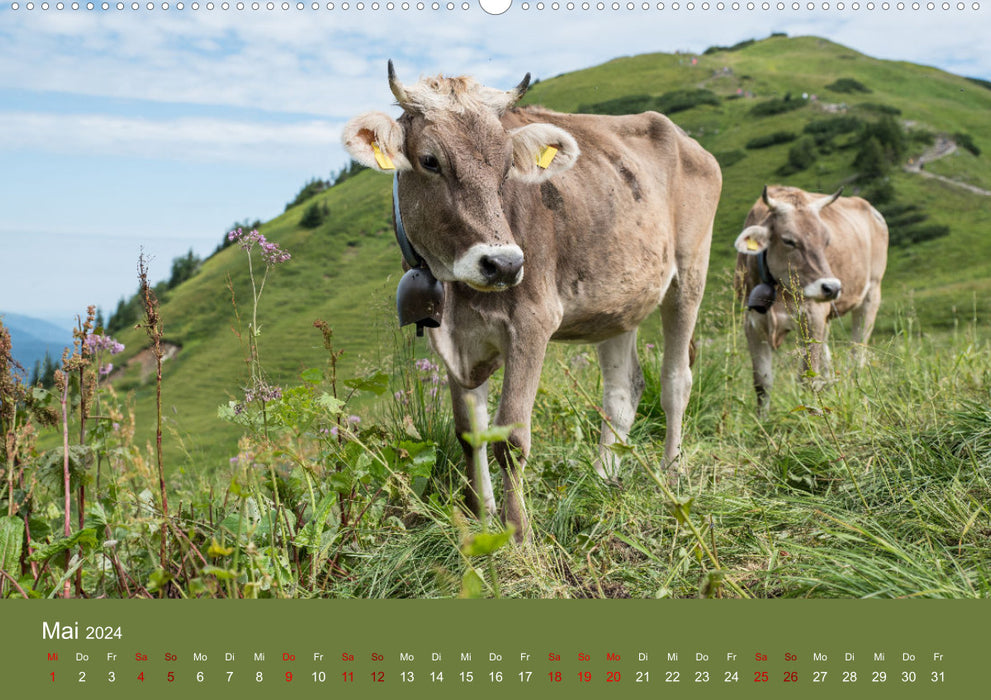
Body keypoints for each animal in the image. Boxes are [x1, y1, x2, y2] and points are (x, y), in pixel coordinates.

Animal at [340, 63, 720, 540]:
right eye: (430, 160)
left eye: (507, 167)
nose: (502, 264)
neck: (460, 292)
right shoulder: (452, 340)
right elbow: (469, 432)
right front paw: (483, 519)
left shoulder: (532, 321)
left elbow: (511, 438)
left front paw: (519, 534)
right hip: (618, 301)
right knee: (623, 389)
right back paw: (604, 477)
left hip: (690, 274)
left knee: (675, 380)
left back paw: (671, 472)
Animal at [736, 186, 892, 416]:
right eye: (788, 240)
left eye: (826, 240)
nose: (832, 288)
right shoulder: (752, 323)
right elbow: (762, 383)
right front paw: (761, 419)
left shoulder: (813, 316)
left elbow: (806, 377)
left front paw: (807, 415)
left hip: (872, 292)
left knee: (857, 354)